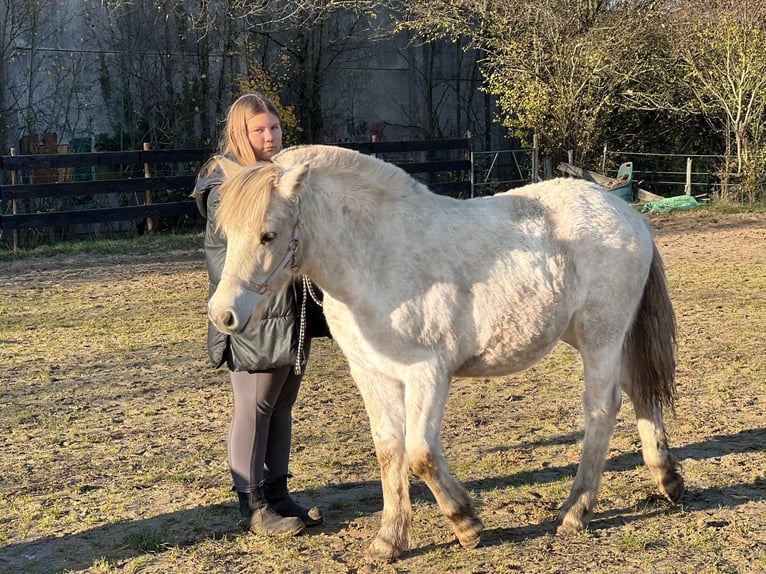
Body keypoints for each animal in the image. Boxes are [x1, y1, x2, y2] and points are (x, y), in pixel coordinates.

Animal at [206, 145, 683, 561]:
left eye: (268, 235)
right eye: (225, 234)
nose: (223, 314)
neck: (379, 257)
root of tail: (628, 216)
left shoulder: (428, 373)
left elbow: (420, 452)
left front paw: (466, 524)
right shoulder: (373, 374)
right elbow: (390, 451)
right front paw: (389, 541)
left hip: (600, 336)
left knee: (603, 408)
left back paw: (575, 511)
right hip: (595, 337)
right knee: (639, 390)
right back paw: (668, 479)